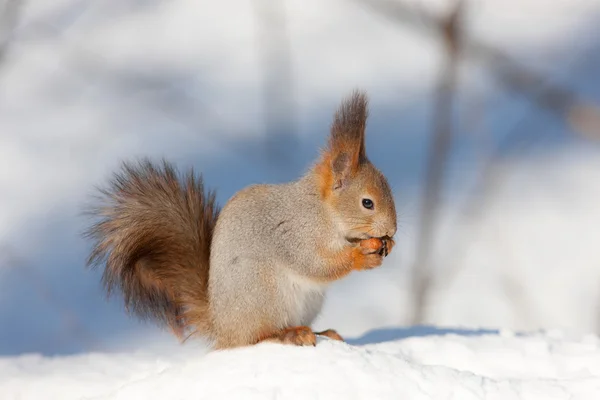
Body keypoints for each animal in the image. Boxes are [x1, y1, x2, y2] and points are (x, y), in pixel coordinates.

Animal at [83, 90, 394, 350]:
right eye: (367, 203)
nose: (392, 229)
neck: (322, 211)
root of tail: (222, 327)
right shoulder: (294, 233)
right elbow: (315, 264)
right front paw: (360, 256)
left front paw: (386, 247)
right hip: (263, 294)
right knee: (255, 337)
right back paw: (290, 334)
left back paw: (323, 332)